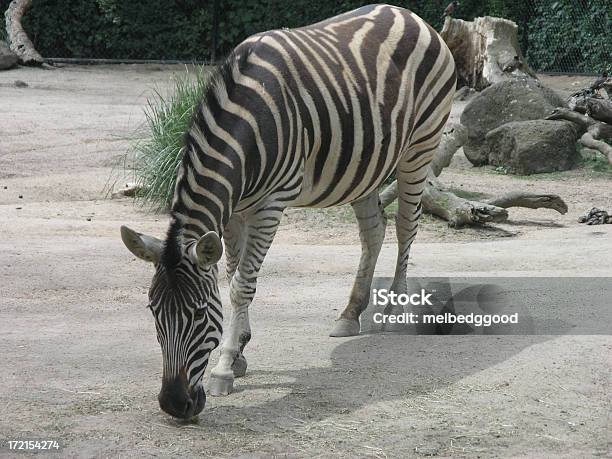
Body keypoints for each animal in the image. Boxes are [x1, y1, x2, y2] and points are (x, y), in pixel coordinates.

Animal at [120, 4, 454, 420]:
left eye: (197, 314)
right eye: (153, 312)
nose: (174, 404)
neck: (246, 127)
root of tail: (408, 14)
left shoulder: (270, 205)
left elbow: (241, 286)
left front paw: (225, 367)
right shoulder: (235, 211)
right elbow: (233, 276)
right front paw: (240, 351)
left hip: (420, 146)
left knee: (407, 225)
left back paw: (394, 311)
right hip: (365, 164)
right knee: (374, 231)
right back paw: (350, 314)